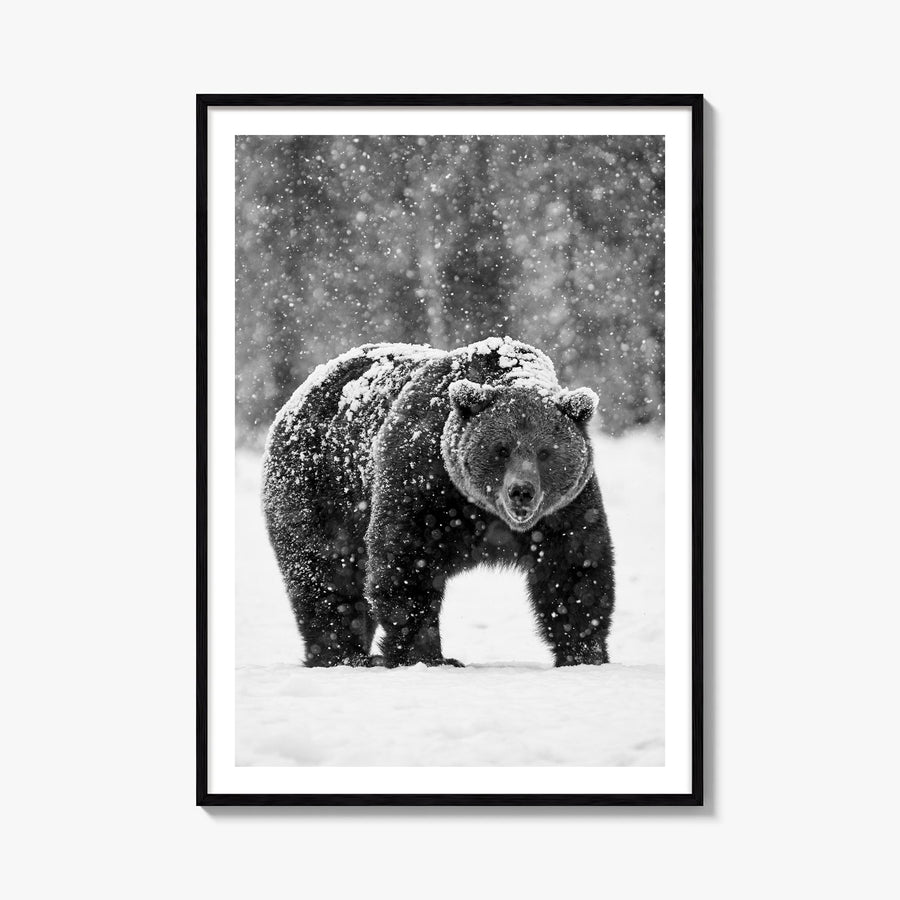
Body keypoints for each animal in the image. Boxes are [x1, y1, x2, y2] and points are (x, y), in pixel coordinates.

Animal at [262, 337, 615, 668]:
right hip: (321, 489)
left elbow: (575, 570)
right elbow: (406, 564)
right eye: (501, 449)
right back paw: (344, 655)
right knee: (326, 574)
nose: (521, 491)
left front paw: (584, 654)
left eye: (545, 452)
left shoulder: (565, 510)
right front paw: (428, 656)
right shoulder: (423, 483)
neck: (484, 512)